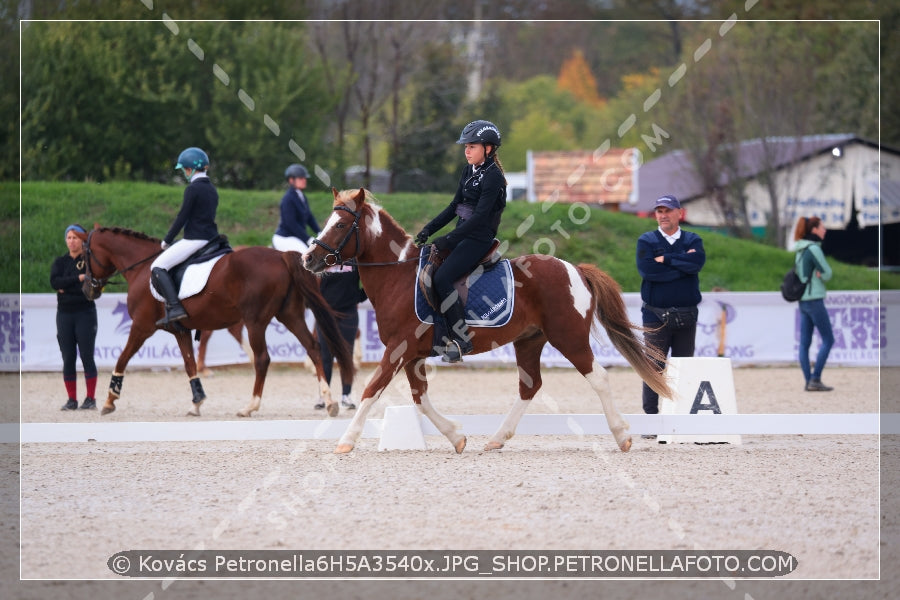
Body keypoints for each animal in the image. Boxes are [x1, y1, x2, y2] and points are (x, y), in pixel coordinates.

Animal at [77, 225, 354, 418]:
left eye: (84, 255)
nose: (87, 290)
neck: (142, 268)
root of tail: (281, 256)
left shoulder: (141, 327)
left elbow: (122, 358)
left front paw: (110, 400)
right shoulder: (180, 330)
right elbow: (189, 364)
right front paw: (197, 402)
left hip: (255, 320)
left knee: (263, 359)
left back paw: (250, 406)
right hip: (290, 315)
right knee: (313, 348)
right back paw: (329, 402)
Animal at [304, 189, 676, 454]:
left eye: (340, 225)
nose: (308, 259)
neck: (398, 276)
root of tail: (575, 269)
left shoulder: (398, 349)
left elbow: (371, 389)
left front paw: (346, 441)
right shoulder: (412, 354)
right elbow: (419, 399)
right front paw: (456, 436)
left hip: (568, 337)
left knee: (598, 378)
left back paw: (622, 435)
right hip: (530, 340)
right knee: (530, 386)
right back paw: (497, 438)